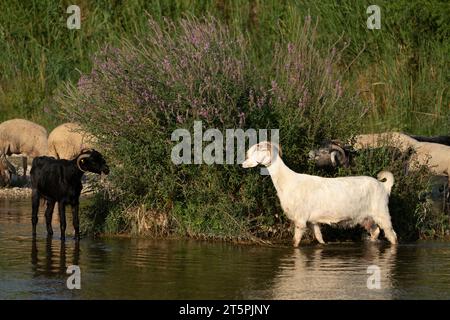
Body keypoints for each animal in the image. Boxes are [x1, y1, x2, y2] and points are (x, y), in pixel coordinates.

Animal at [243, 141, 398, 248]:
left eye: (254, 152)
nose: (243, 164)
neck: (288, 181)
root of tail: (383, 186)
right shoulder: (313, 221)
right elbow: (319, 238)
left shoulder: (300, 220)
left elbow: (295, 241)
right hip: (366, 218)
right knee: (376, 231)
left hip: (382, 213)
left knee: (392, 235)